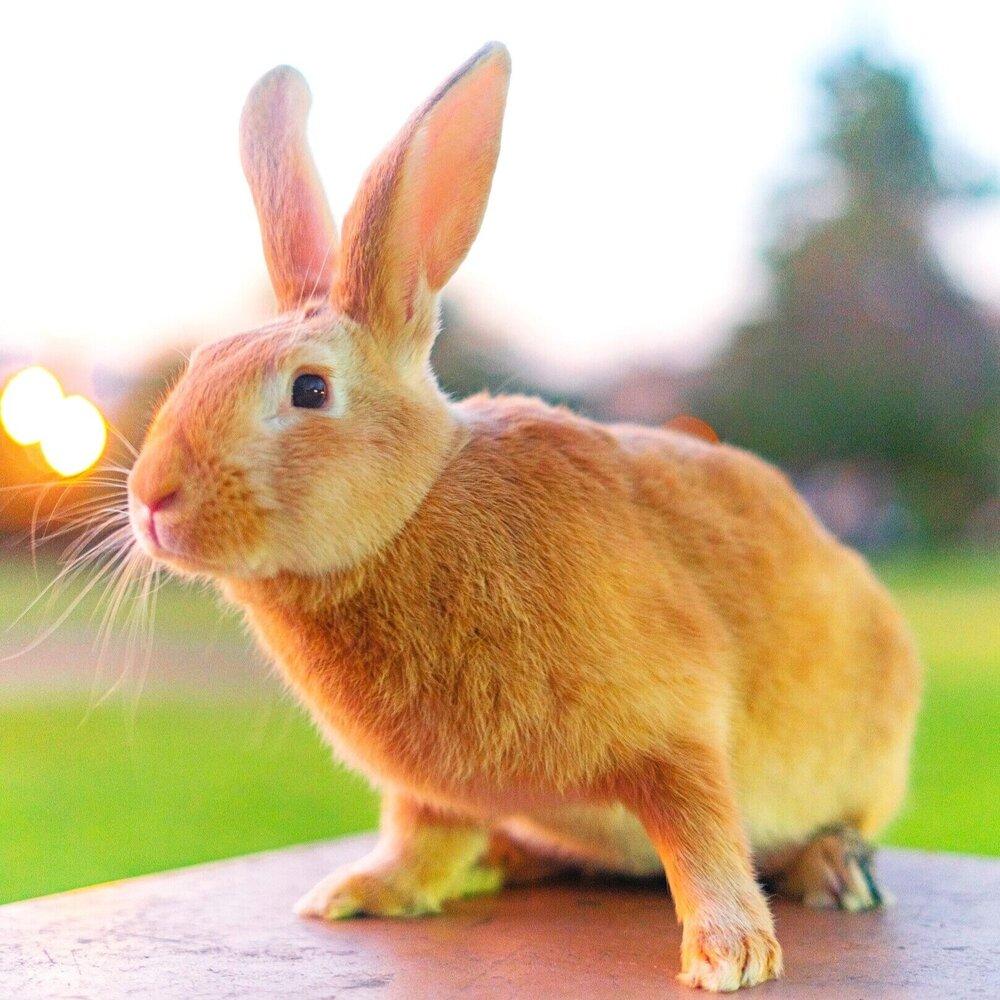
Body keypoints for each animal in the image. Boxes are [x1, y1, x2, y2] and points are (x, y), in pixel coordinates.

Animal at [127, 45, 920, 992]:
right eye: (198, 363)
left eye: (309, 390)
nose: (151, 499)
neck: (415, 512)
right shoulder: (433, 792)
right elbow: (420, 841)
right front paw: (358, 893)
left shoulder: (675, 729)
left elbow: (702, 834)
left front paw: (731, 957)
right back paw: (510, 858)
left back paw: (834, 870)